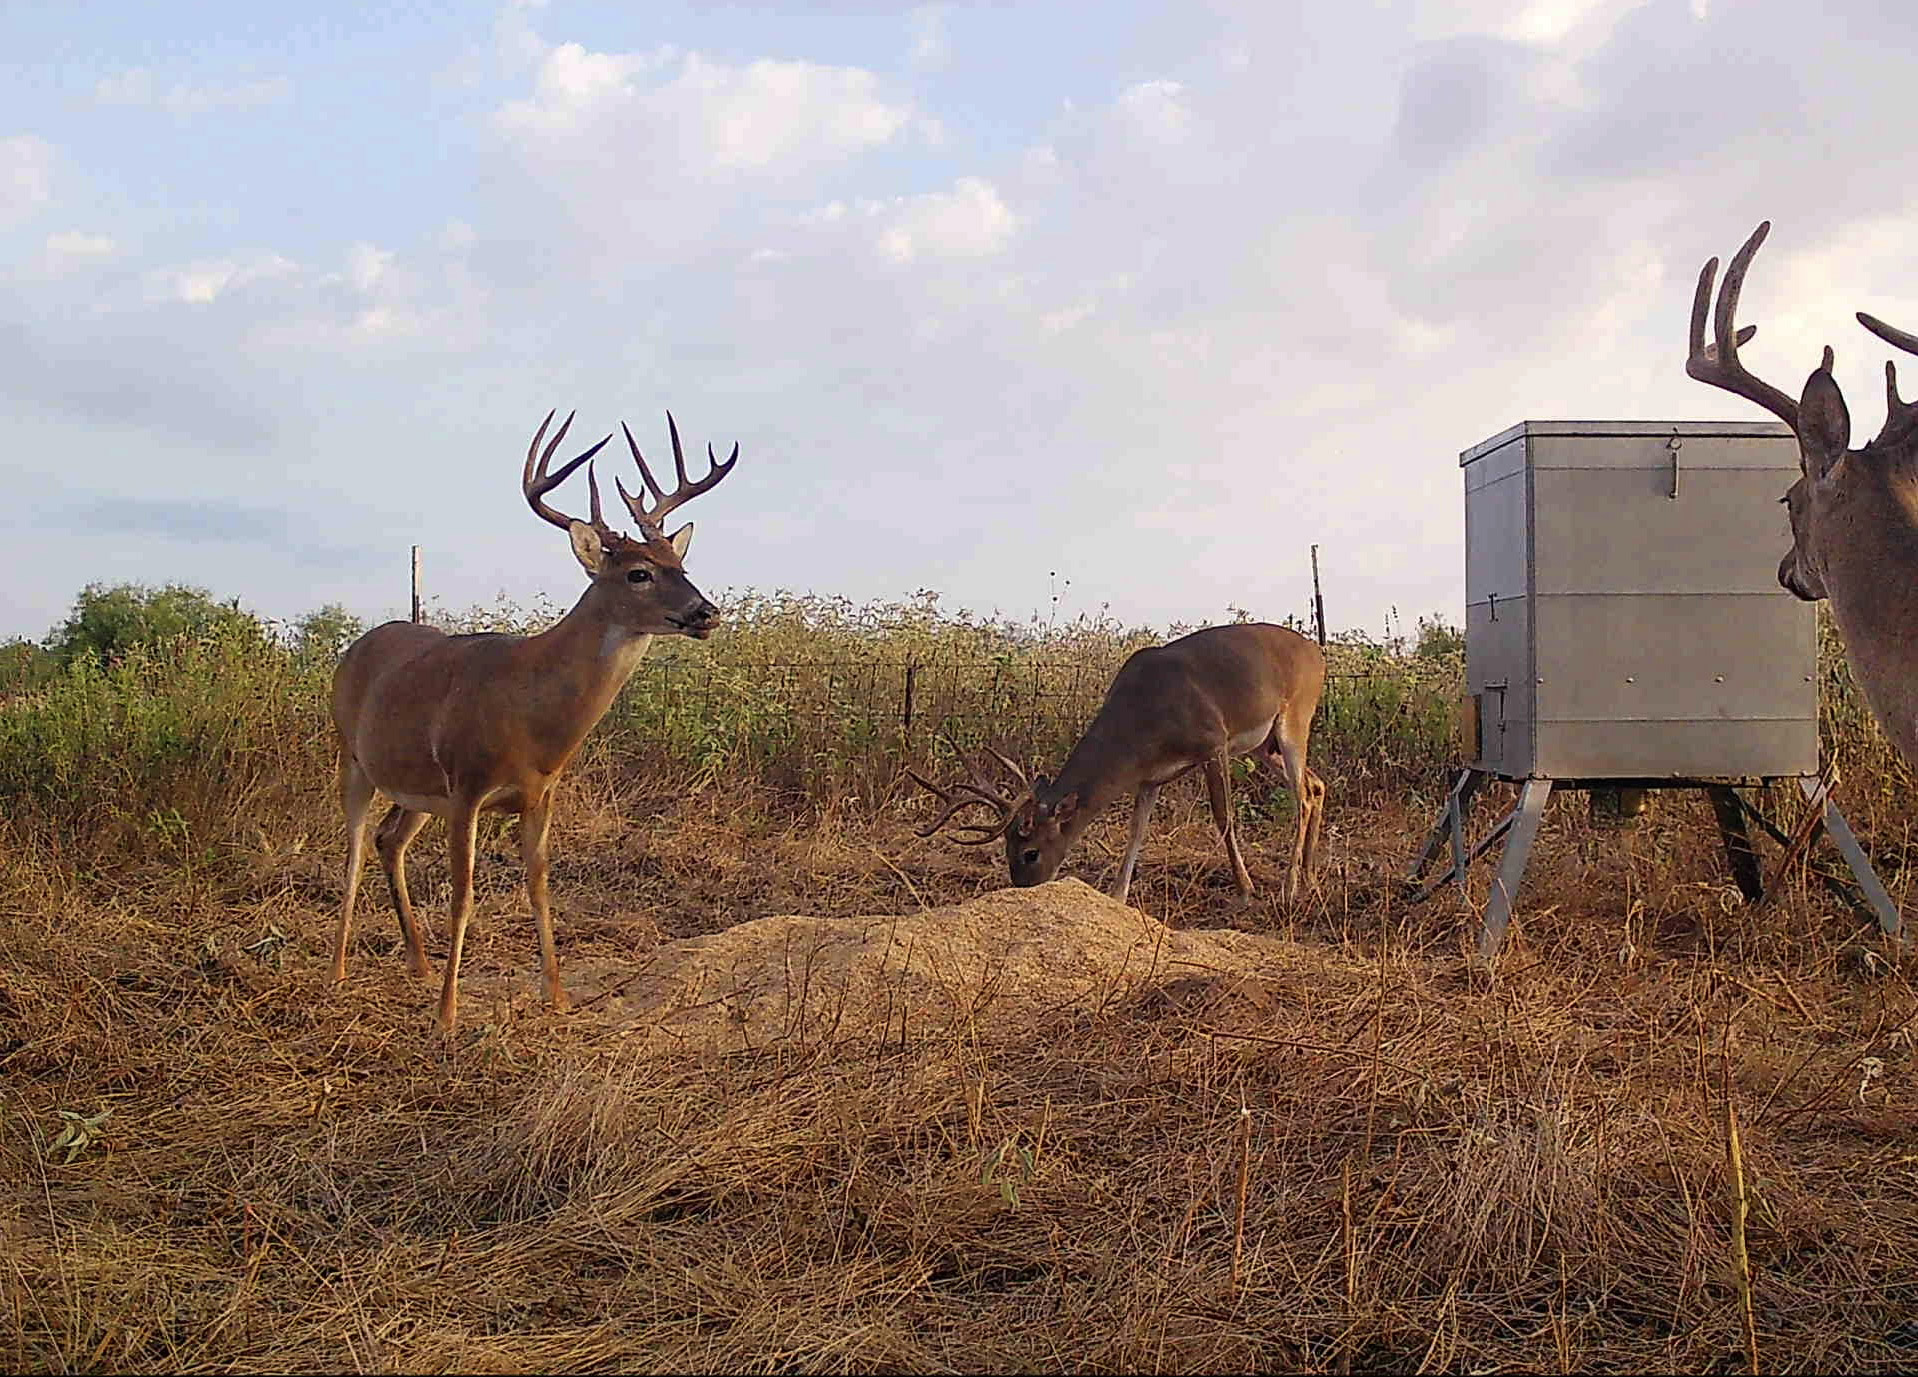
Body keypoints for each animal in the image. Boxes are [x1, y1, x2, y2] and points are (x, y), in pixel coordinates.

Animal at [329, 410, 732, 1035]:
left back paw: (419, 964)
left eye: (680, 564)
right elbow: (464, 894)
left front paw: (557, 996)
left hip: (416, 787)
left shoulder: (540, 793)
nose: (705, 612)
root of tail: (357, 645)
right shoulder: (467, 786)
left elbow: (540, 885)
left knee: (387, 839)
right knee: (349, 851)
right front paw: (446, 1017)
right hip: (354, 756)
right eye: (639, 573)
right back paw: (340, 970)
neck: (529, 714)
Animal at [905, 621, 1327, 905]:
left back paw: (1290, 887)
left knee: (1303, 797)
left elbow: (1224, 818)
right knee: (1316, 785)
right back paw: (1310, 879)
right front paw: (1117, 895)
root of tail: (1319, 654)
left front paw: (1246, 890)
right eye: (1006, 850)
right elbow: (1136, 831)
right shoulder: (1149, 777)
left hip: (1295, 717)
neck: (1143, 719)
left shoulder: (1213, 742)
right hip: (1265, 746)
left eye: (1030, 852)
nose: (1024, 889)